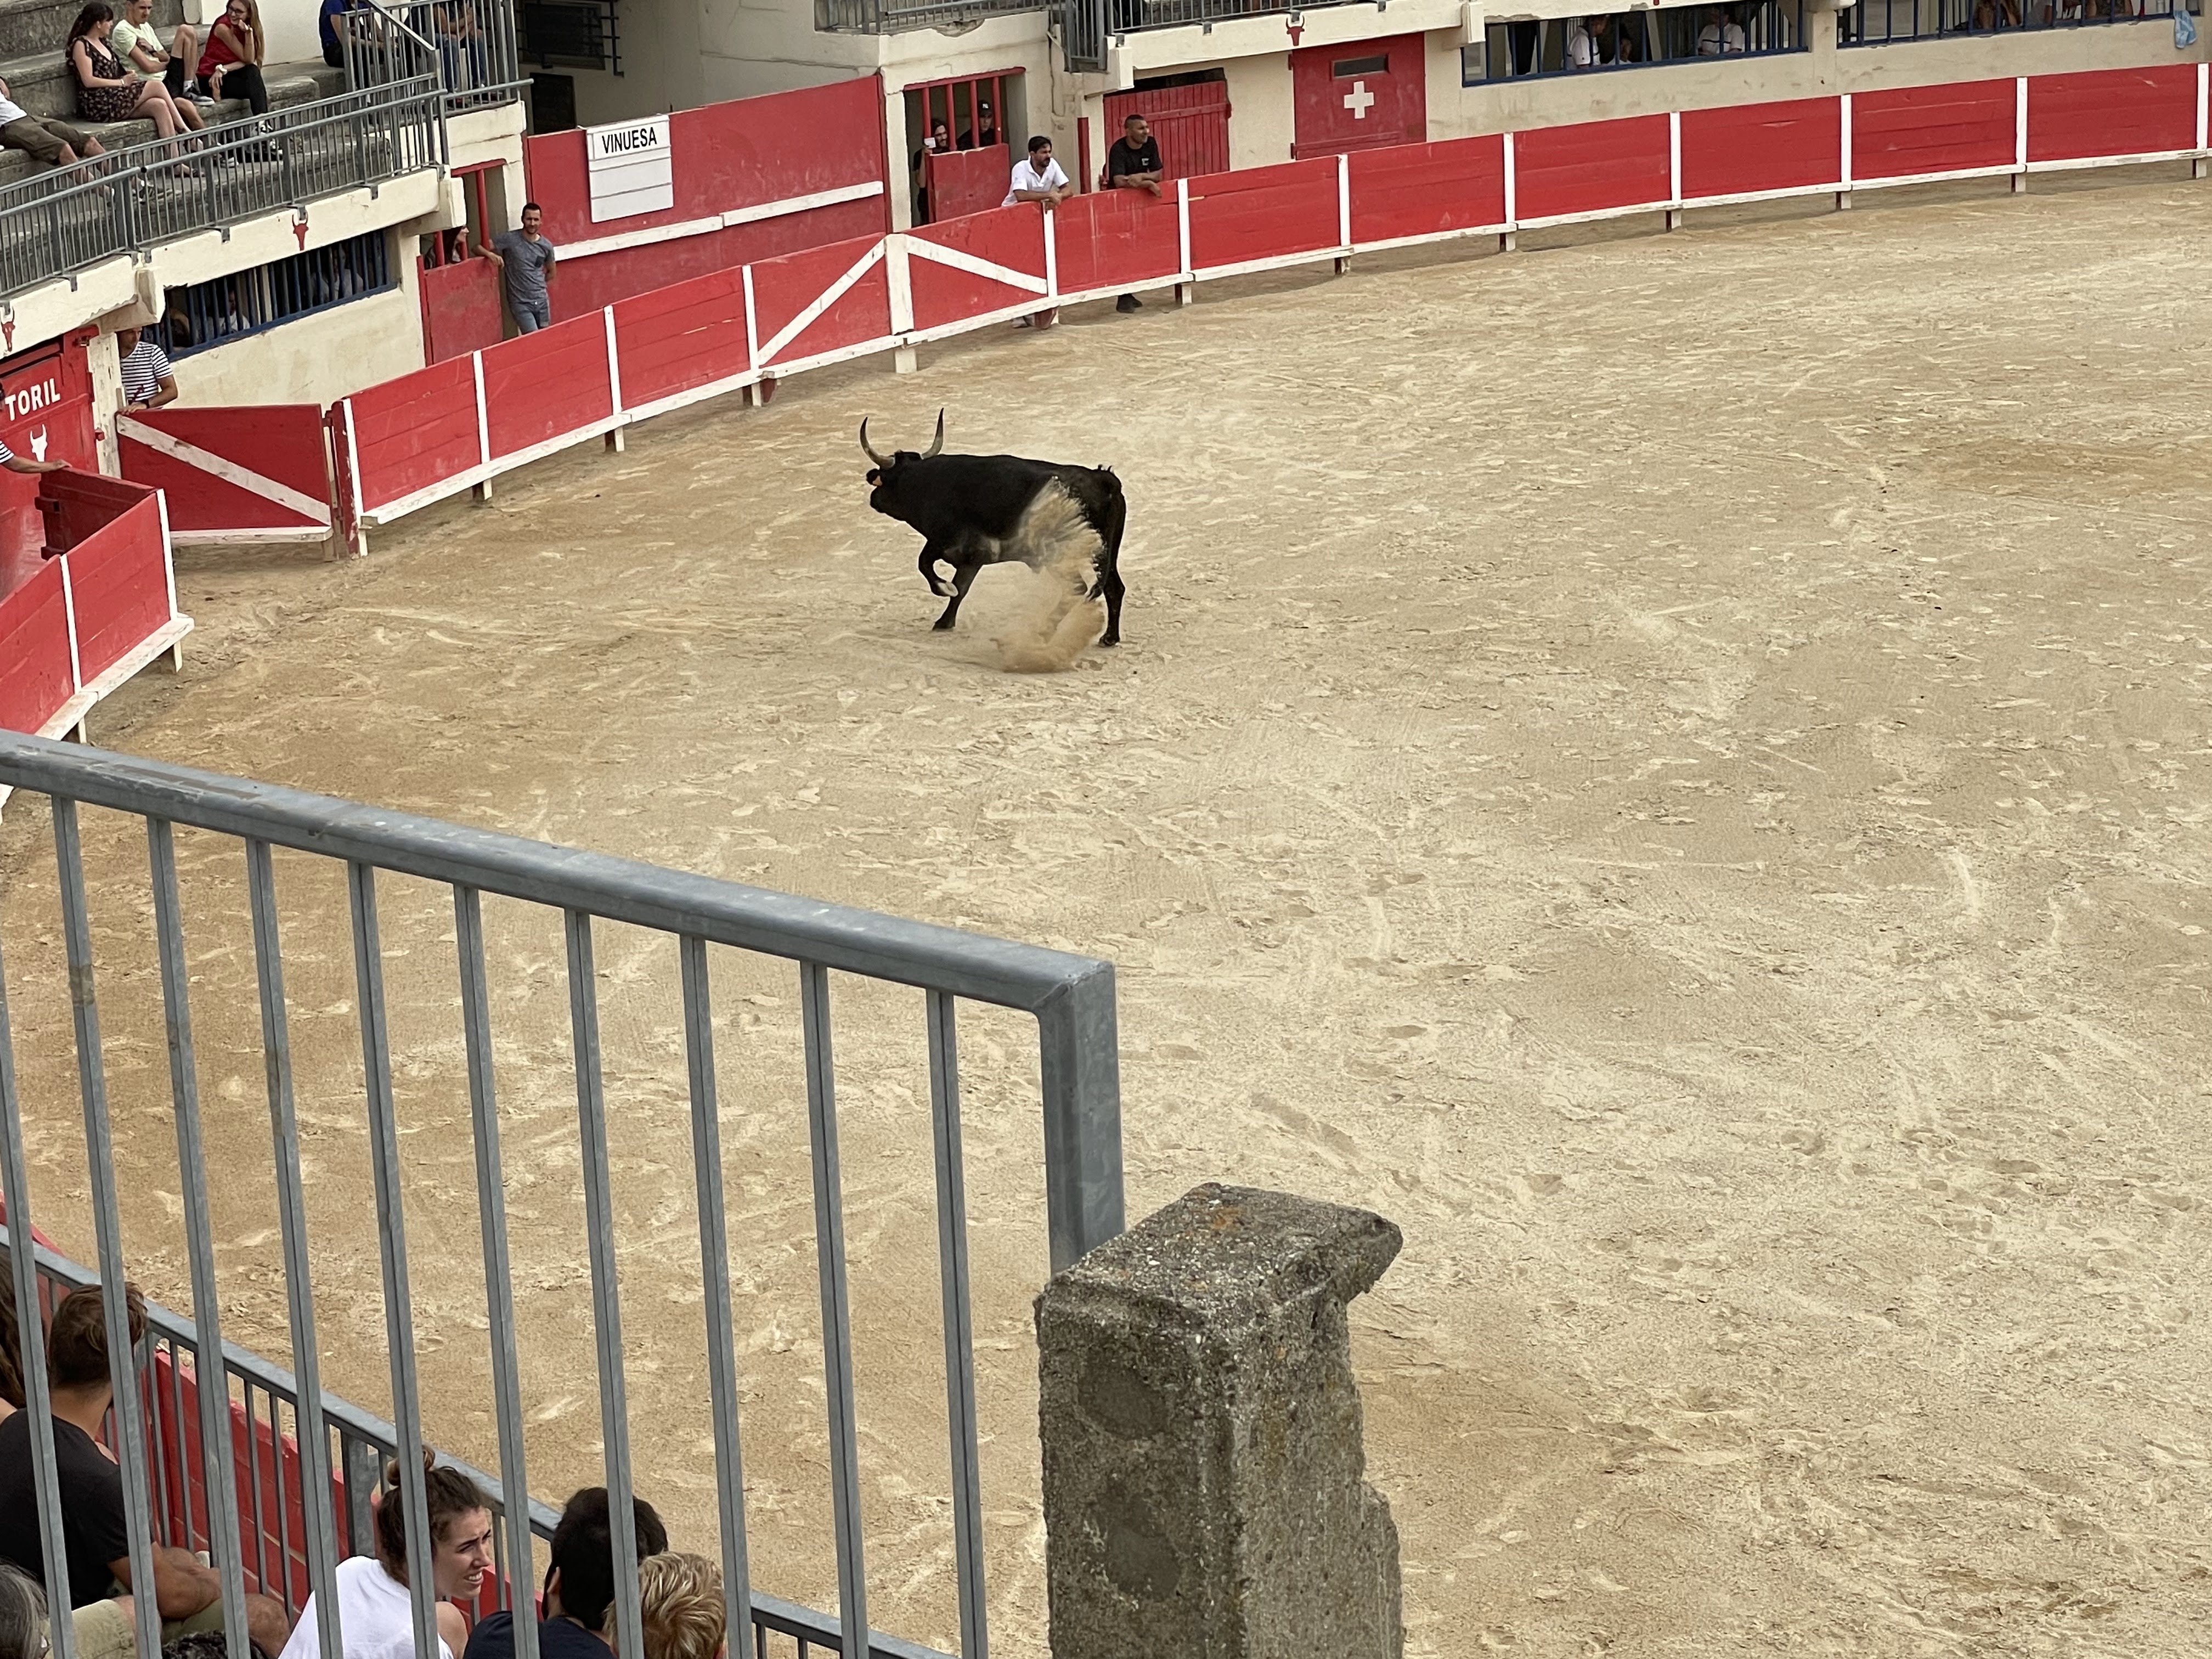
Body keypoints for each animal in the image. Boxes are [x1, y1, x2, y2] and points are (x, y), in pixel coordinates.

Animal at [860, 410, 1128, 647]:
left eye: (885, 479)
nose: (874, 500)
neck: (925, 482)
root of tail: (1102, 480)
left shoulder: (963, 549)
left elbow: (931, 569)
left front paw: (945, 598)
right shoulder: (961, 554)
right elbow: (956, 583)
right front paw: (946, 617)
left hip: (1059, 556)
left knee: (1079, 589)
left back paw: (1045, 631)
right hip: (1107, 553)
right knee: (1113, 587)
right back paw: (1109, 638)